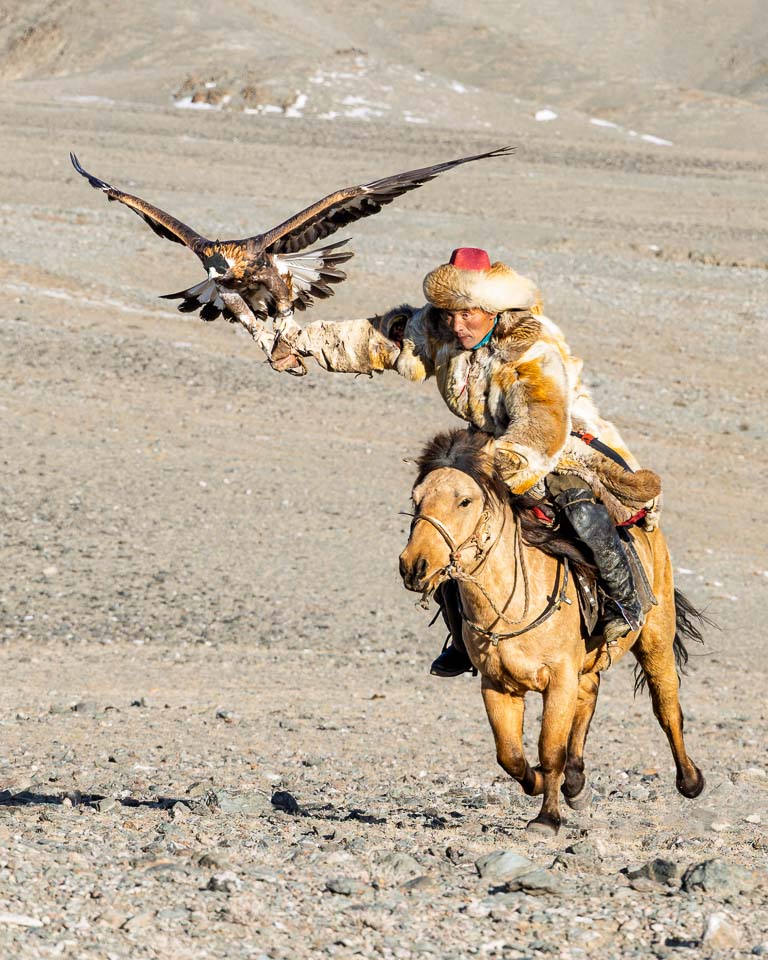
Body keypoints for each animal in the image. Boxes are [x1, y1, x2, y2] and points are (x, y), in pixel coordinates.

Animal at [398, 429, 706, 836]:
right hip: (588, 663)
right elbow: (510, 755)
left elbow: (550, 748)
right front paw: (543, 783)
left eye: (464, 500)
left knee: (666, 705)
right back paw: (576, 785)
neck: (514, 604)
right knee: (589, 695)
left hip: (655, 637)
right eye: (416, 499)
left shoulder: (558, 680)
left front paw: (547, 819)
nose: (413, 566)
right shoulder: (497, 684)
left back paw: (690, 781)